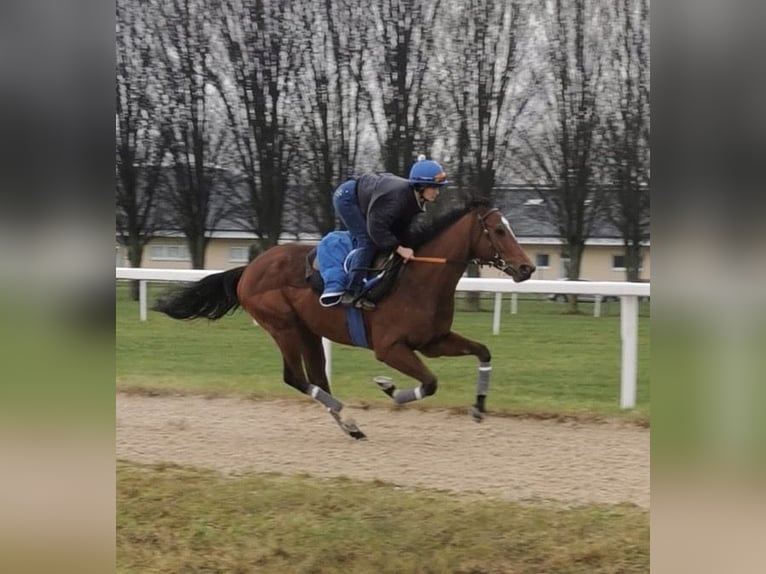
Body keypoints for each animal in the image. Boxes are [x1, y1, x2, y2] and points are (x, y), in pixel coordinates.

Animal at [154, 199, 536, 439]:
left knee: (317, 378)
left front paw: (479, 407)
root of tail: (248, 269)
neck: (418, 279)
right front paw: (388, 387)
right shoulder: (390, 348)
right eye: (499, 232)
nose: (528, 268)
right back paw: (349, 417)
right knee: (295, 377)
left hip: (307, 331)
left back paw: (349, 426)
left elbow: (483, 351)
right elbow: (429, 383)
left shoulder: (434, 341)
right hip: (283, 325)